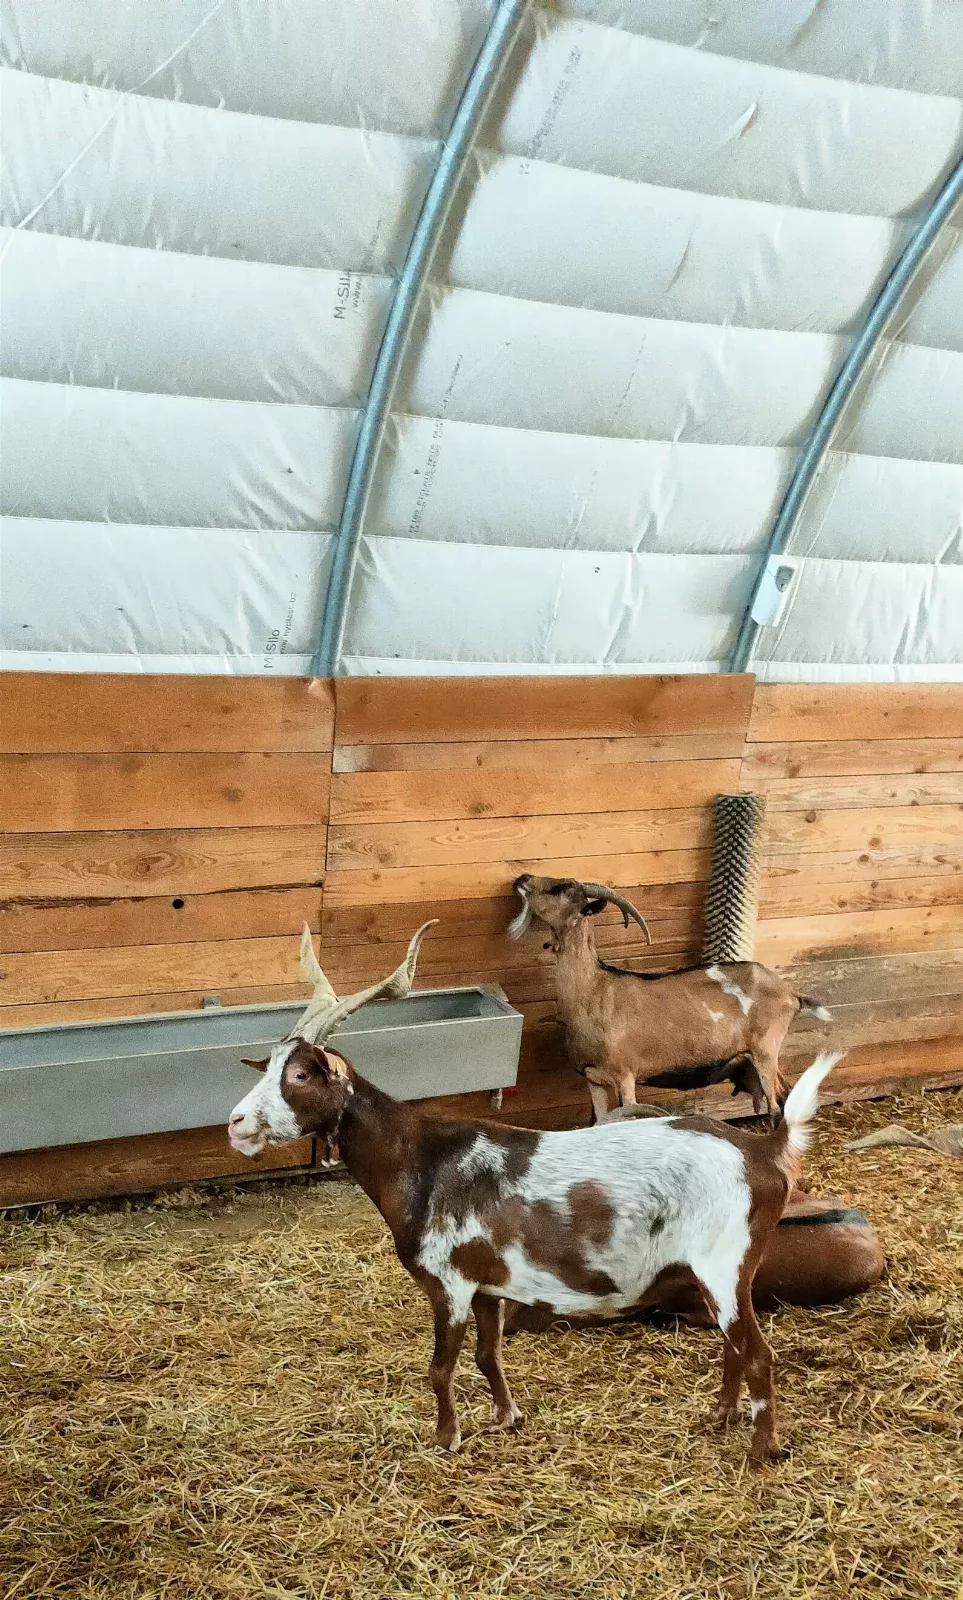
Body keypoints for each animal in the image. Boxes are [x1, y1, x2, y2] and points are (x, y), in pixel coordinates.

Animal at [228, 924, 841, 1466]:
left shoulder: (449, 1283)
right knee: (734, 1345)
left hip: (725, 1263)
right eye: (270, 1066)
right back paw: (720, 1416)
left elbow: (440, 1368)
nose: (236, 1123)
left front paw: (447, 1440)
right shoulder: (488, 1285)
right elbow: (488, 1354)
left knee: (757, 1352)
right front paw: (507, 1417)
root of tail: (765, 1150)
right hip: (717, 1273)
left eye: (301, 1075)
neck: (421, 1159)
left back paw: (762, 1451)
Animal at [508, 874, 831, 1122]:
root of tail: (791, 994)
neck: (594, 991)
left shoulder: (625, 1076)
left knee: (777, 1107)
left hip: (766, 1049)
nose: (522, 878)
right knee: (786, 1095)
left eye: (559, 888)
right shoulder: (592, 1078)